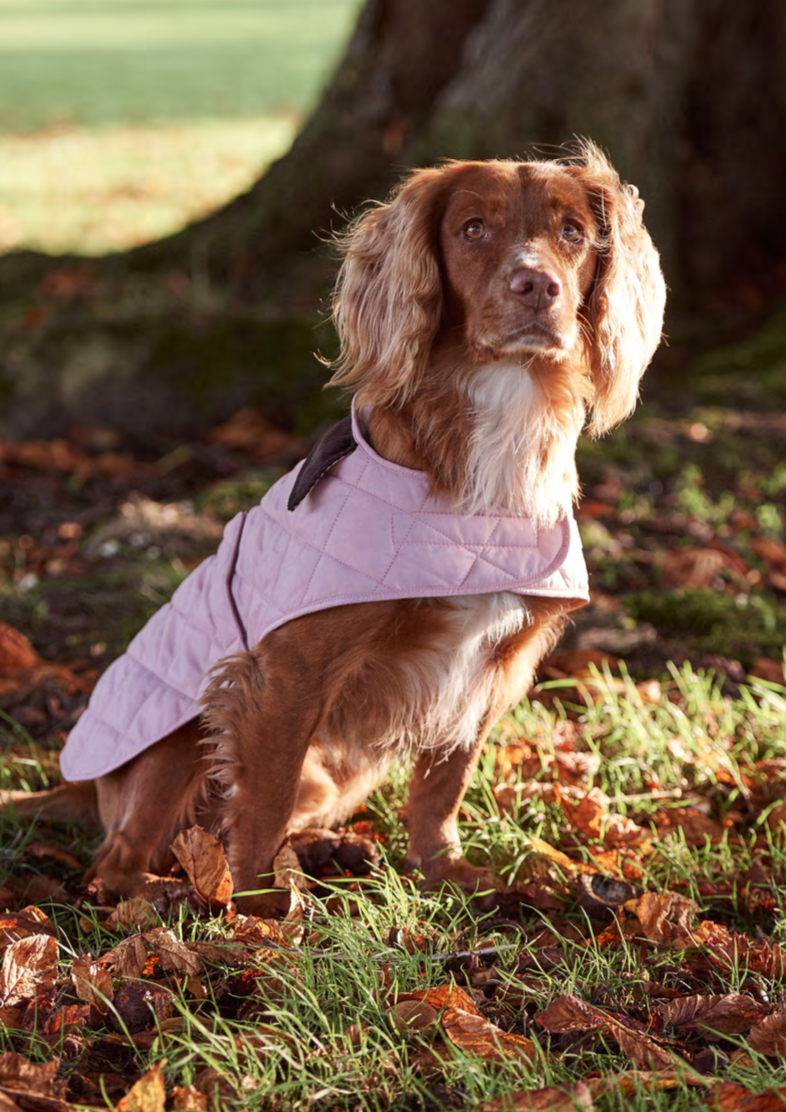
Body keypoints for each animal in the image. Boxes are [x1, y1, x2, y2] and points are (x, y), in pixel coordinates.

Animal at [1, 141, 662, 911]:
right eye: (473, 229)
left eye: (573, 233)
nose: (537, 286)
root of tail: (84, 788)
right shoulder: (289, 669)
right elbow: (261, 801)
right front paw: (261, 910)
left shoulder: (497, 664)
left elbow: (444, 783)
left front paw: (443, 870)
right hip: (178, 732)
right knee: (116, 860)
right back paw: (170, 891)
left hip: (335, 775)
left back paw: (330, 848)